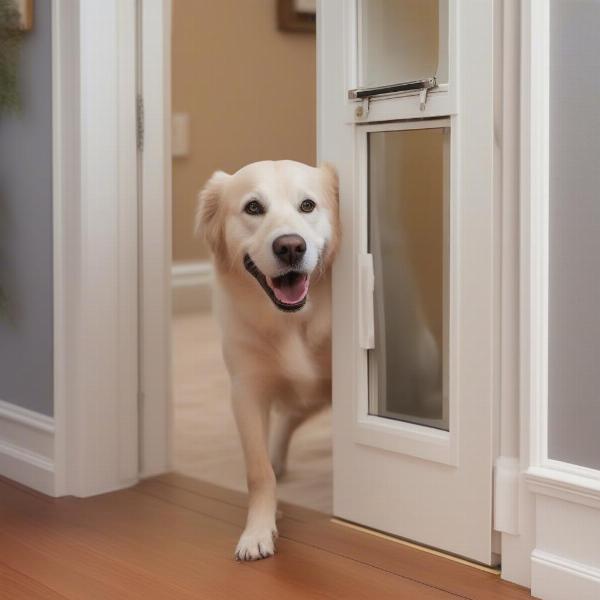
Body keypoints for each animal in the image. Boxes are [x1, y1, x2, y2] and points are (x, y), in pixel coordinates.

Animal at [196, 158, 340, 556]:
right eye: (253, 208)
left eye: (307, 205)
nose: (290, 247)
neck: (293, 322)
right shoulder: (246, 391)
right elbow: (259, 472)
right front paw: (258, 530)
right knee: (289, 416)